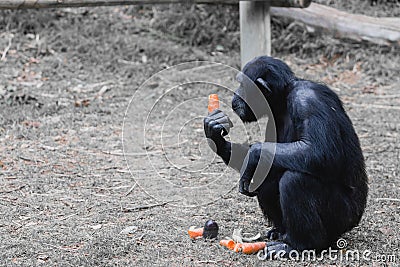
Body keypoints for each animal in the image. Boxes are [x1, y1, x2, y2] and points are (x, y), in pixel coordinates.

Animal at [205, 56, 368, 258]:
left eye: (242, 84)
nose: (235, 94)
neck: (283, 98)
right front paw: (215, 132)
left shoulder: (307, 100)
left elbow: (319, 151)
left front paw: (253, 154)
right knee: (266, 175)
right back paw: (280, 233)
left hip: (343, 216)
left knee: (295, 181)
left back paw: (299, 245)